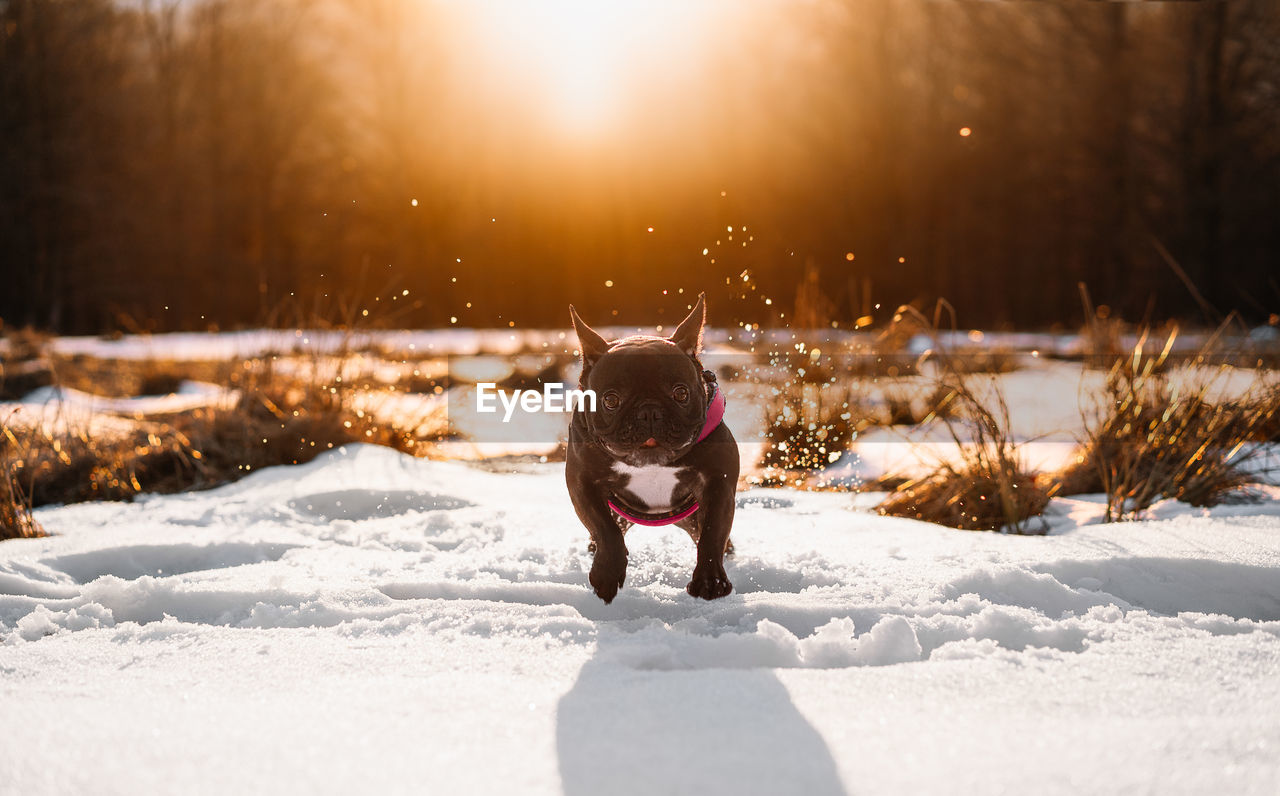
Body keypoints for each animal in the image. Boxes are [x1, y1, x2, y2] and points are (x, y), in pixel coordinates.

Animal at [563, 294, 737, 604]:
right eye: (611, 399)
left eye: (681, 393)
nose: (649, 412)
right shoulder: (582, 483)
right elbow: (605, 529)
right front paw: (607, 574)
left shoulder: (719, 485)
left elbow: (712, 533)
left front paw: (710, 581)